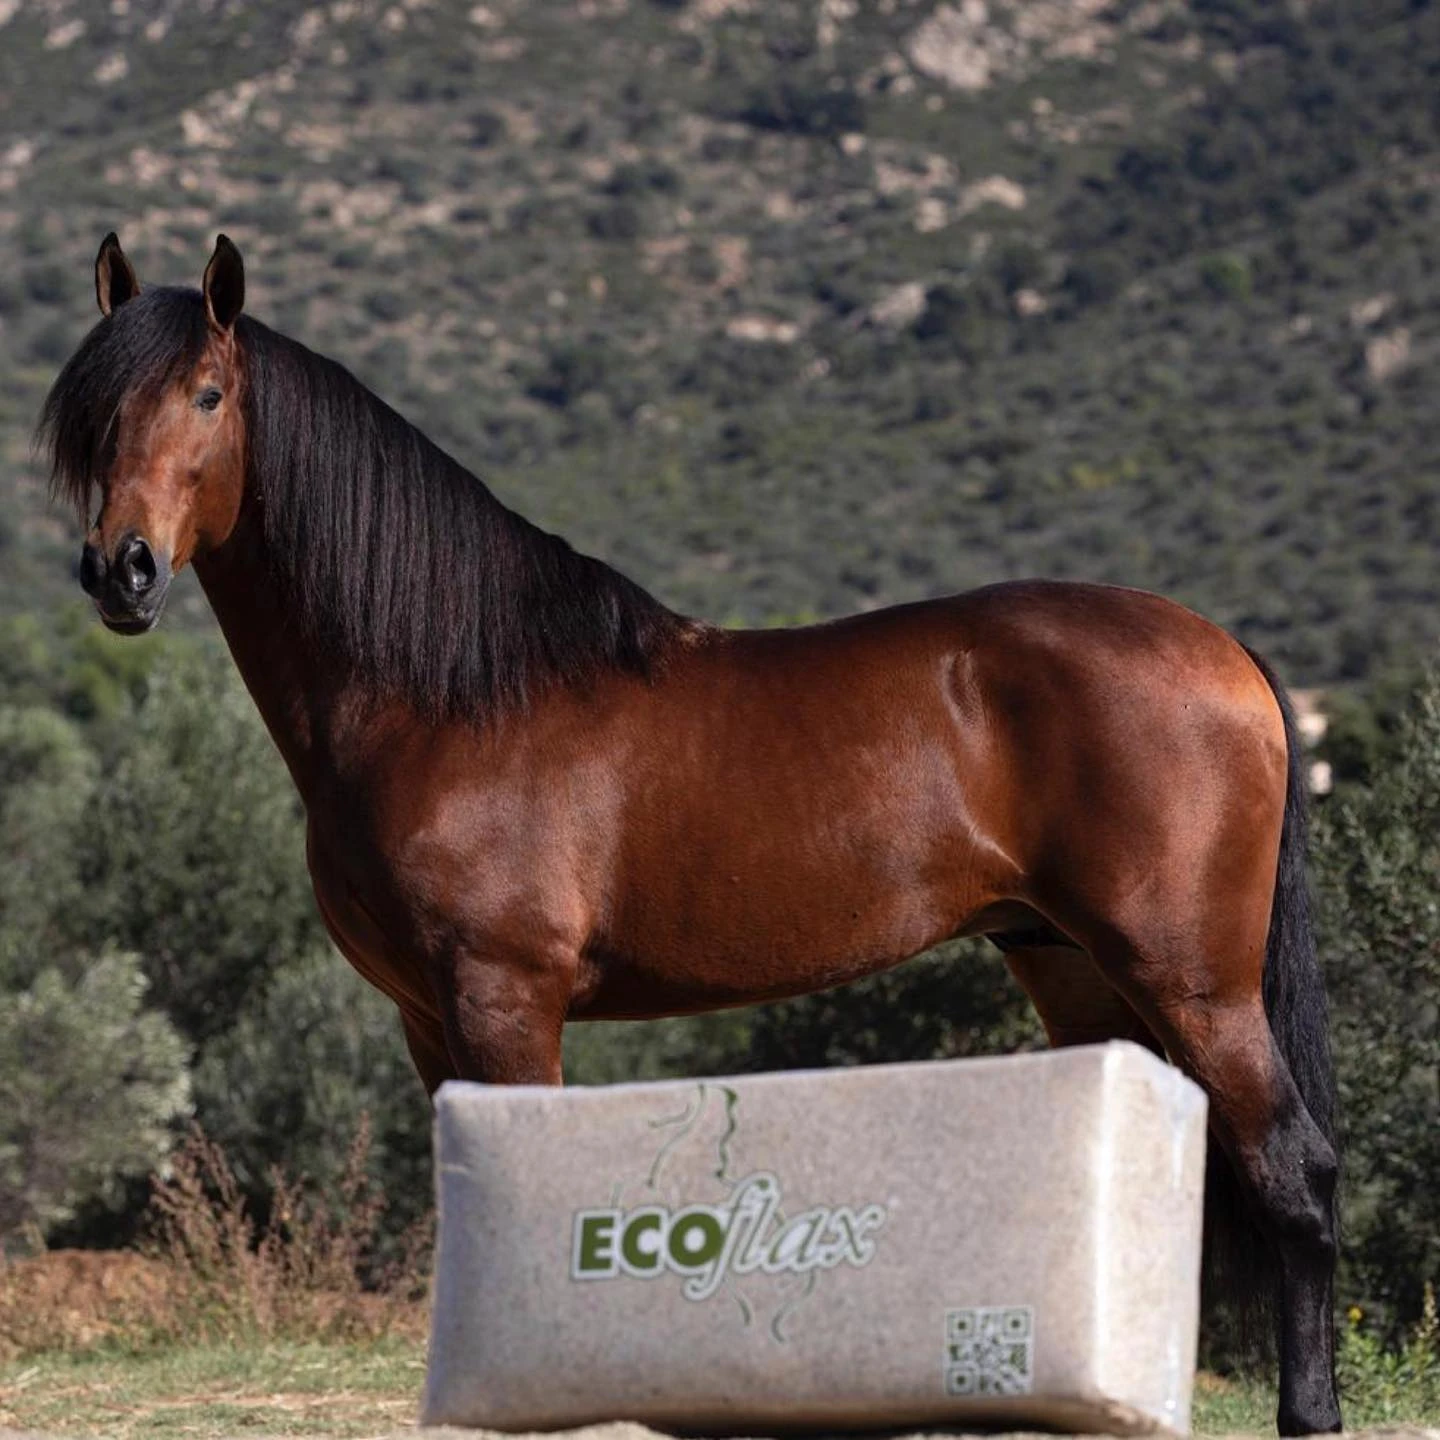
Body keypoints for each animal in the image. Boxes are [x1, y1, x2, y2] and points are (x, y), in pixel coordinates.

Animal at [43, 234, 1340, 1434]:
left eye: (208, 394)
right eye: (94, 409)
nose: (123, 571)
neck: (449, 697)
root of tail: (1225, 652)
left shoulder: (506, 997)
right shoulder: (425, 1017)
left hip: (1192, 980)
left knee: (1291, 1166)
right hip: (1075, 972)